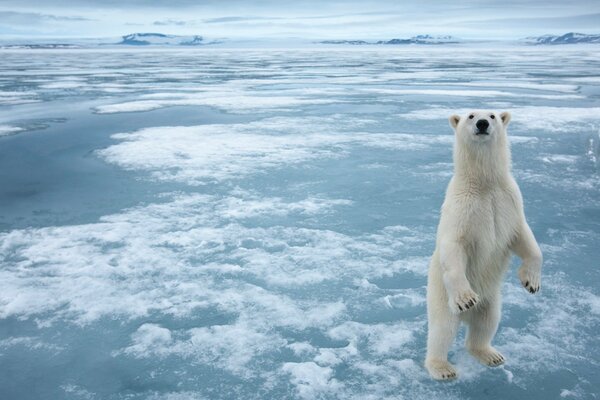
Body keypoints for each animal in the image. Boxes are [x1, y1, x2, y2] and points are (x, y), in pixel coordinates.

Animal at [424, 111, 540, 380]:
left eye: (493, 115)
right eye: (470, 115)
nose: (483, 123)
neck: (485, 183)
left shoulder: (509, 201)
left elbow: (524, 237)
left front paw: (531, 282)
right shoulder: (462, 208)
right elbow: (454, 246)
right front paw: (466, 298)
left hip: (492, 298)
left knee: (487, 322)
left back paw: (490, 354)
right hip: (440, 295)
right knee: (442, 329)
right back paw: (442, 368)